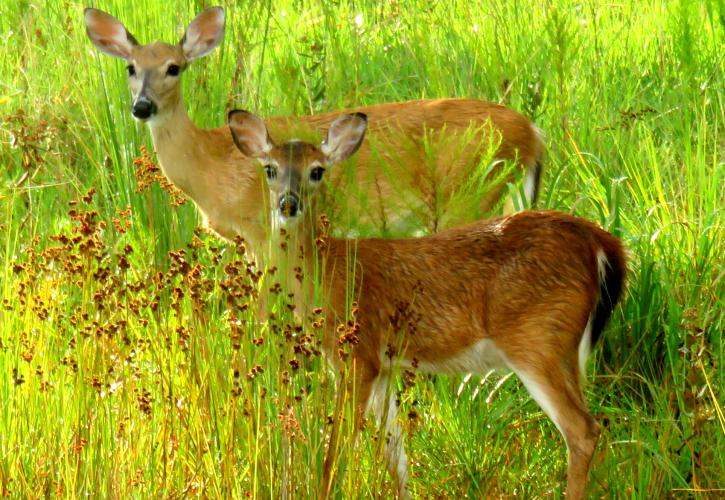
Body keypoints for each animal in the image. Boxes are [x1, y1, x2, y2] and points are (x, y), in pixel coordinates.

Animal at [83, 4, 544, 258]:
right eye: (130, 68)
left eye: (174, 67)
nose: (142, 106)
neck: (210, 163)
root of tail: (534, 134)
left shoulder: (261, 229)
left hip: (469, 195)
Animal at [229, 110, 624, 500]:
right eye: (270, 168)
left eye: (316, 170)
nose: (288, 203)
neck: (325, 270)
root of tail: (601, 243)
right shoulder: (385, 366)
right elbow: (395, 455)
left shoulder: (358, 354)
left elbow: (337, 449)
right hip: (565, 349)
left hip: (538, 339)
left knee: (582, 430)